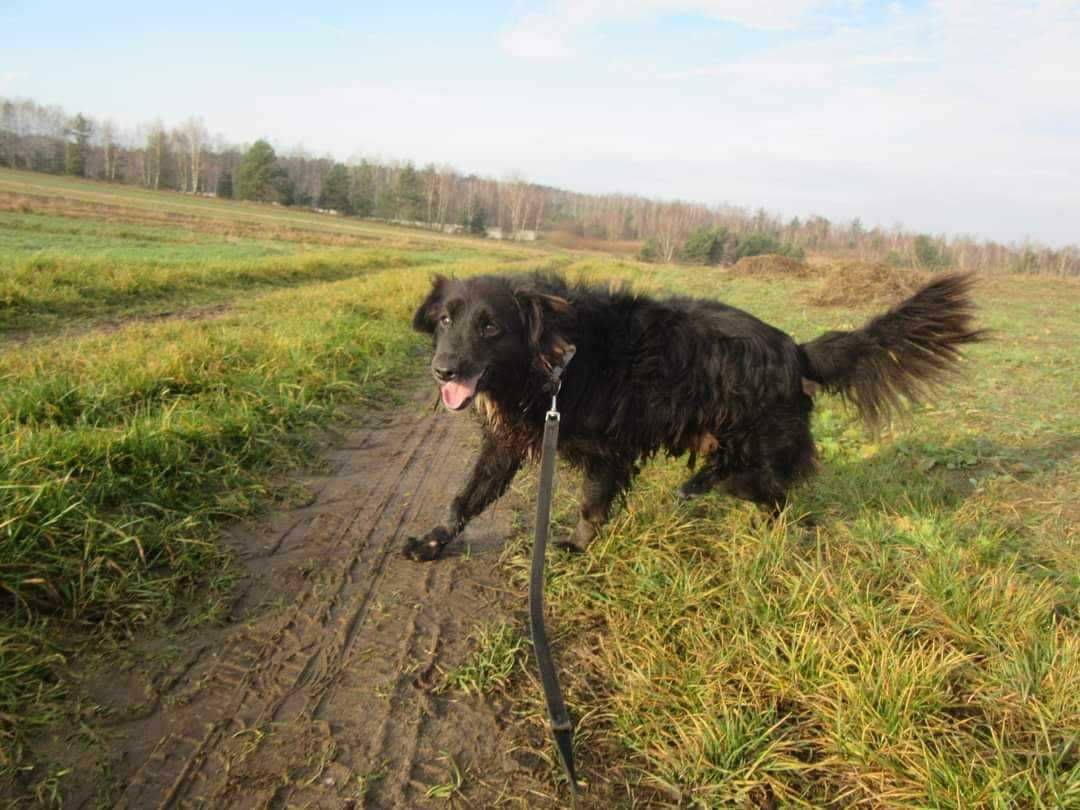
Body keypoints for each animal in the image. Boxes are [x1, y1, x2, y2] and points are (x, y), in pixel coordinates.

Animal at [401, 270, 984, 561]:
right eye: (446, 320)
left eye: (490, 327)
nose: (443, 370)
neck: (556, 357)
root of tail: (796, 350)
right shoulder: (506, 442)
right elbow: (466, 497)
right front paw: (433, 541)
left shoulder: (607, 450)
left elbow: (591, 505)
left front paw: (574, 549)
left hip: (754, 451)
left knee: (773, 492)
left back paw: (725, 503)